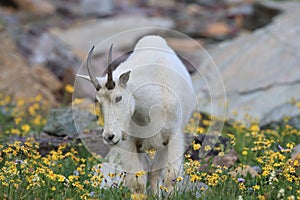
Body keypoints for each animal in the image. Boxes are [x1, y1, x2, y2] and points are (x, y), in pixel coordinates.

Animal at [77, 35, 197, 194]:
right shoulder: (130, 142)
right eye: (98, 101)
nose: (109, 137)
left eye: (119, 97)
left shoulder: (173, 137)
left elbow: (170, 176)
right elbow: (137, 182)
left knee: (156, 172)